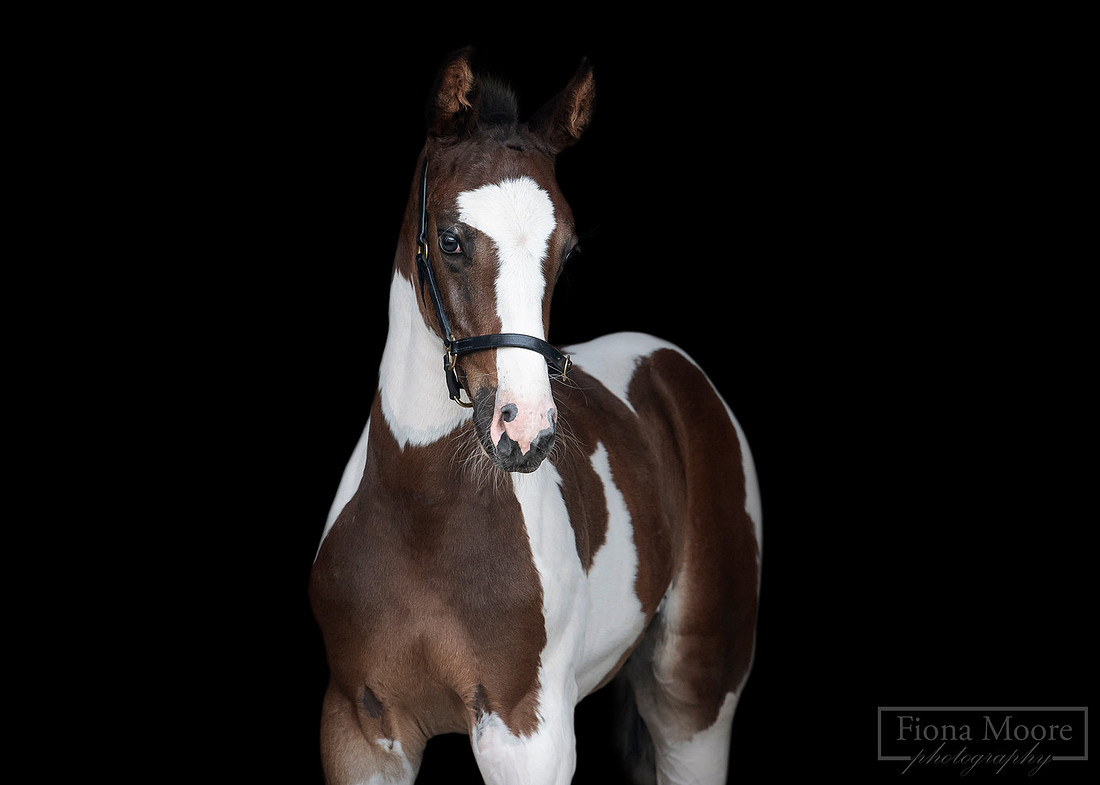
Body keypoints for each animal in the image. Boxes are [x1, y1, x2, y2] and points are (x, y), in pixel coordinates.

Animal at [309, 49, 761, 785]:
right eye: (451, 239)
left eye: (568, 249)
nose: (524, 430)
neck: (419, 515)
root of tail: (676, 369)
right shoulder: (360, 729)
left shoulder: (528, 731)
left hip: (696, 698)